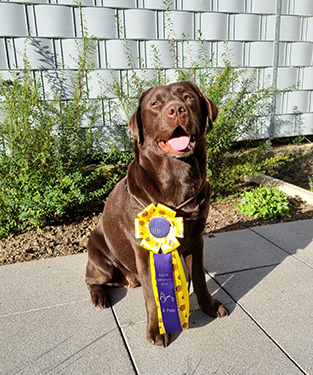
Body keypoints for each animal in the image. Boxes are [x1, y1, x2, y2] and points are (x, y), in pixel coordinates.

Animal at [84, 81, 227, 346]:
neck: (177, 180)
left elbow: (199, 277)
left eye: (188, 97)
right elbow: (152, 294)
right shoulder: (144, 250)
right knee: (92, 279)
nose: (177, 109)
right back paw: (99, 296)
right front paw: (157, 329)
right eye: (155, 103)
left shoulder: (197, 239)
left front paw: (210, 306)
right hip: (100, 258)